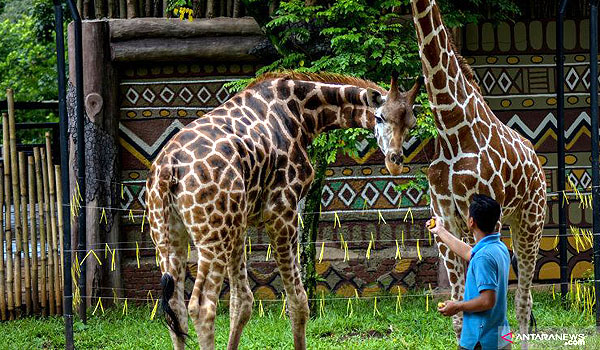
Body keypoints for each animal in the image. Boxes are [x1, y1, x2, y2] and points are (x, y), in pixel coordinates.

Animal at [145, 72, 422, 350]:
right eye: (379, 117)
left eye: (412, 124)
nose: (395, 161)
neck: (303, 115)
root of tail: (168, 167)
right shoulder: (282, 209)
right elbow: (298, 301)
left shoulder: (240, 222)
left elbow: (241, 302)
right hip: (212, 236)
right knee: (202, 306)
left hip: (171, 234)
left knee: (175, 305)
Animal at [408, 0, 548, 348]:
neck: (451, 126)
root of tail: (537, 162)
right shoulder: (446, 216)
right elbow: (459, 315)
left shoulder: (485, 208)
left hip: (531, 218)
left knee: (523, 300)